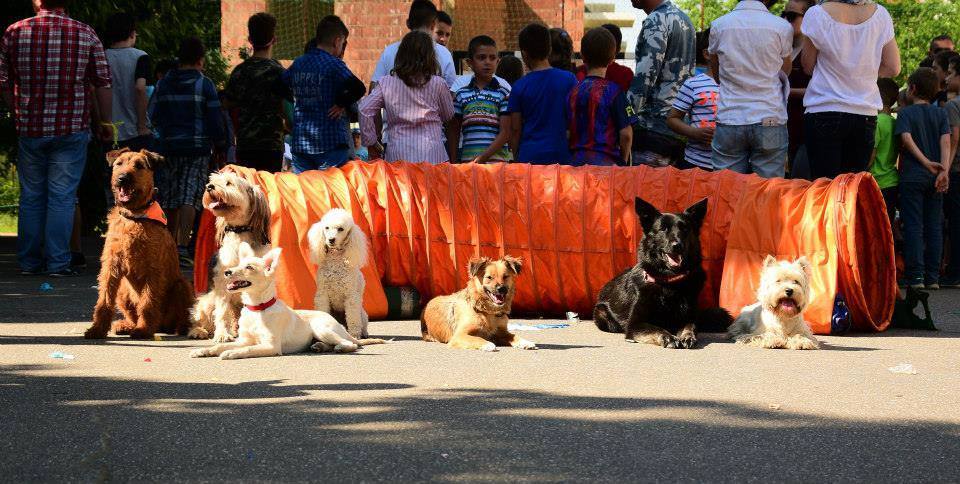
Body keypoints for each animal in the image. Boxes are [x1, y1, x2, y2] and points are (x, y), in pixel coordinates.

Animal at [85, 149, 195, 338]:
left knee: (181, 317)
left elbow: (148, 302)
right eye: (119, 163)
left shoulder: (152, 269)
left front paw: (143, 330)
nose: (122, 178)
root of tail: (161, 326)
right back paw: (126, 325)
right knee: (132, 315)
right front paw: (97, 329)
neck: (134, 217)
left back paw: (180, 328)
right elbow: (104, 300)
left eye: (139, 165)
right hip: (123, 291)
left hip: (182, 285)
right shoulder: (111, 266)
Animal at [189, 246, 384, 360]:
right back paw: (319, 346)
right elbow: (221, 345)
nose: (227, 272)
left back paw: (340, 347)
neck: (257, 309)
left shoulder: (271, 346)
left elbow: (248, 350)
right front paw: (205, 350)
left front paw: (232, 353)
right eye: (237, 264)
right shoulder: (244, 340)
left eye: (249, 267)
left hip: (321, 328)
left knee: (352, 344)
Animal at [588, 197, 732, 348]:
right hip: (603, 315)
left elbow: (691, 326)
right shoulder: (635, 324)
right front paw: (668, 337)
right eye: (663, 229)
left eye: (685, 229)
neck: (669, 281)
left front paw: (687, 336)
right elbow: (655, 328)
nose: (677, 245)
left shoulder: (689, 317)